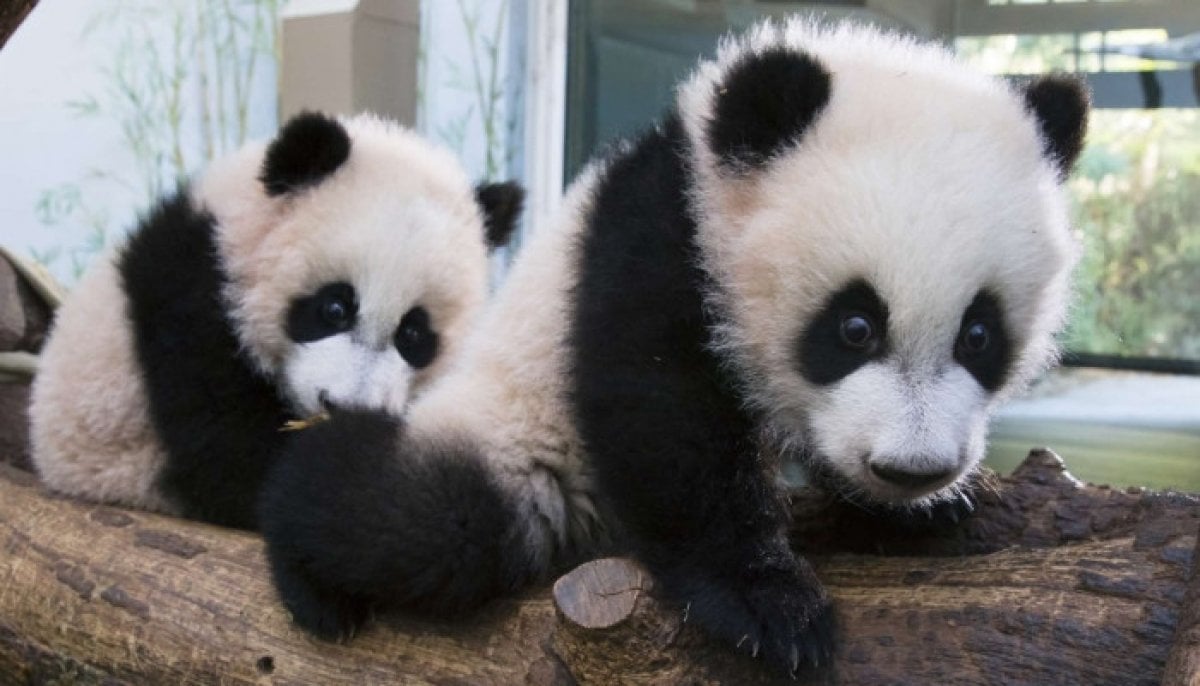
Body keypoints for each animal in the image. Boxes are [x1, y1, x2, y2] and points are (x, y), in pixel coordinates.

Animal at [29, 111, 523, 530]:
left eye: (414, 333)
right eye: (334, 308)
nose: (346, 408)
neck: (238, 230)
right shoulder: (188, 295)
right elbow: (234, 457)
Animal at [258, 21, 1088, 674]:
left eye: (979, 334)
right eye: (854, 326)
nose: (912, 468)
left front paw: (922, 508)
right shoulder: (662, 228)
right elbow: (661, 410)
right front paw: (769, 607)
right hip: (516, 441)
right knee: (420, 521)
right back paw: (306, 554)